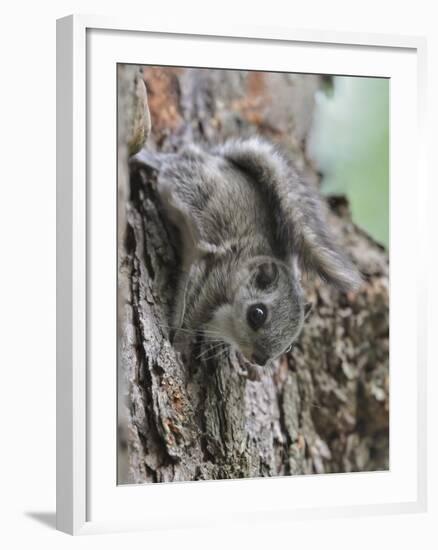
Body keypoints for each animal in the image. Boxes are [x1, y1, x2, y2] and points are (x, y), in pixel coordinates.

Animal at [135, 137, 362, 368]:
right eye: (257, 314)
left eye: (289, 345)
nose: (260, 360)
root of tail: (211, 158)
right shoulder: (213, 276)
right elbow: (189, 312)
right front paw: (179, 345)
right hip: (189, 184)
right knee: (169, 164)